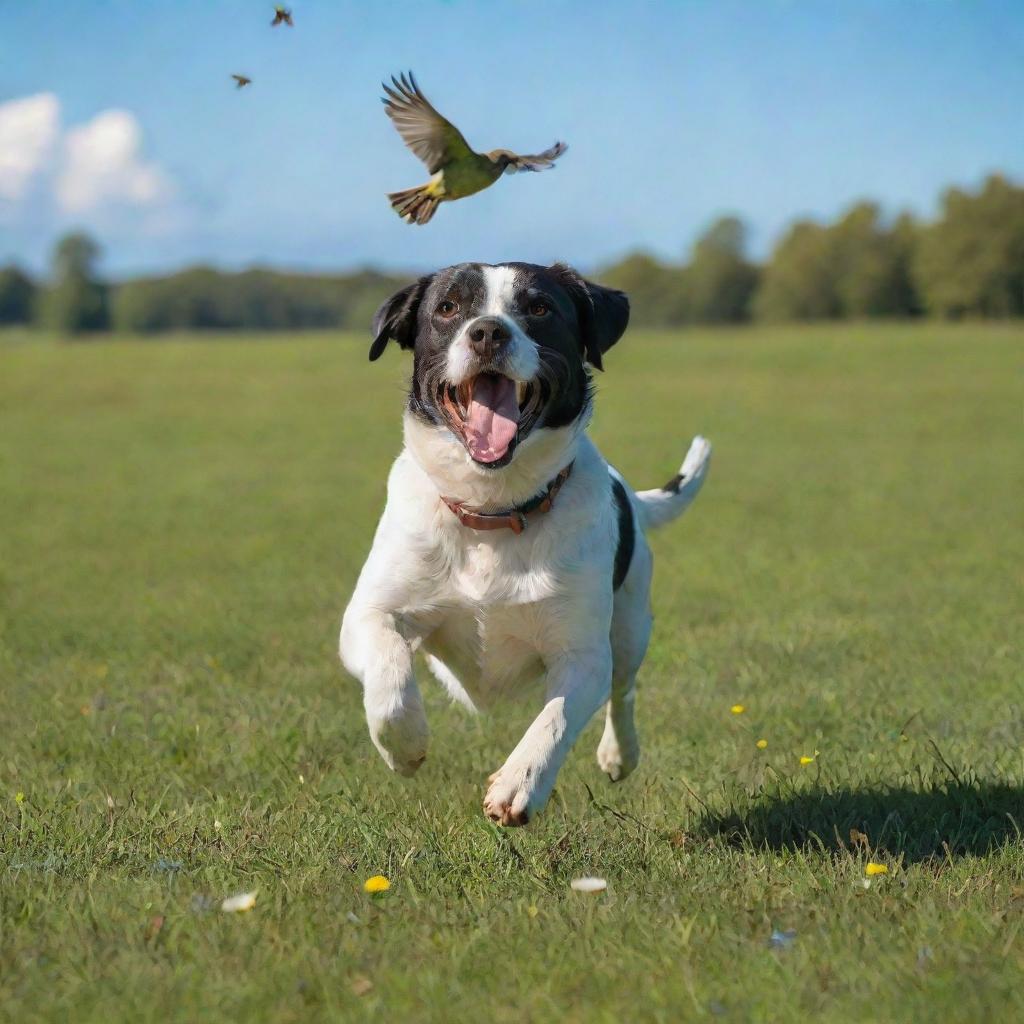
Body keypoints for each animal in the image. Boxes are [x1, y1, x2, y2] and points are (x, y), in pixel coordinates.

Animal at [339, 262, 708, 823]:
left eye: (539, 307)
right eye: (448, 307)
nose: (488, 332)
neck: (493, 511)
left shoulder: (583, 654)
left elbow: (555, 719)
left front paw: (519, 784)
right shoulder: (370, 612)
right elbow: (389, 668)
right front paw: (404, 743)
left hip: (630, 625)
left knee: (623, 690)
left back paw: (618, 754)